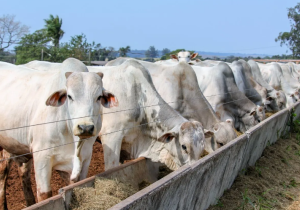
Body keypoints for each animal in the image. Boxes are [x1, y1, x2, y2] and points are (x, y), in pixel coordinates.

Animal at [0, 58, 117, 208]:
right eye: (69, 96)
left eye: (99, 97)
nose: (85, 128)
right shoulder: (42, 158)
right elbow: (45, 196)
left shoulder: (85, 158)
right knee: (3, 173)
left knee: (23, 172)